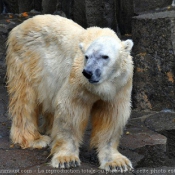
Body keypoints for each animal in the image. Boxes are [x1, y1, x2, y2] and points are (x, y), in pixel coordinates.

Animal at [5, 14, 134, 172]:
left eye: (105, 56)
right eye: (86, 56)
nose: (88, 72)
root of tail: (18, 27)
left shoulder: (119, 86)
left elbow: (111, 116)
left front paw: (117, 163)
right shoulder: (78, 81)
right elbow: (71, 111)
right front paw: (67, 159)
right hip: (28, 59)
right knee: (25, 99)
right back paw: (34, 139)